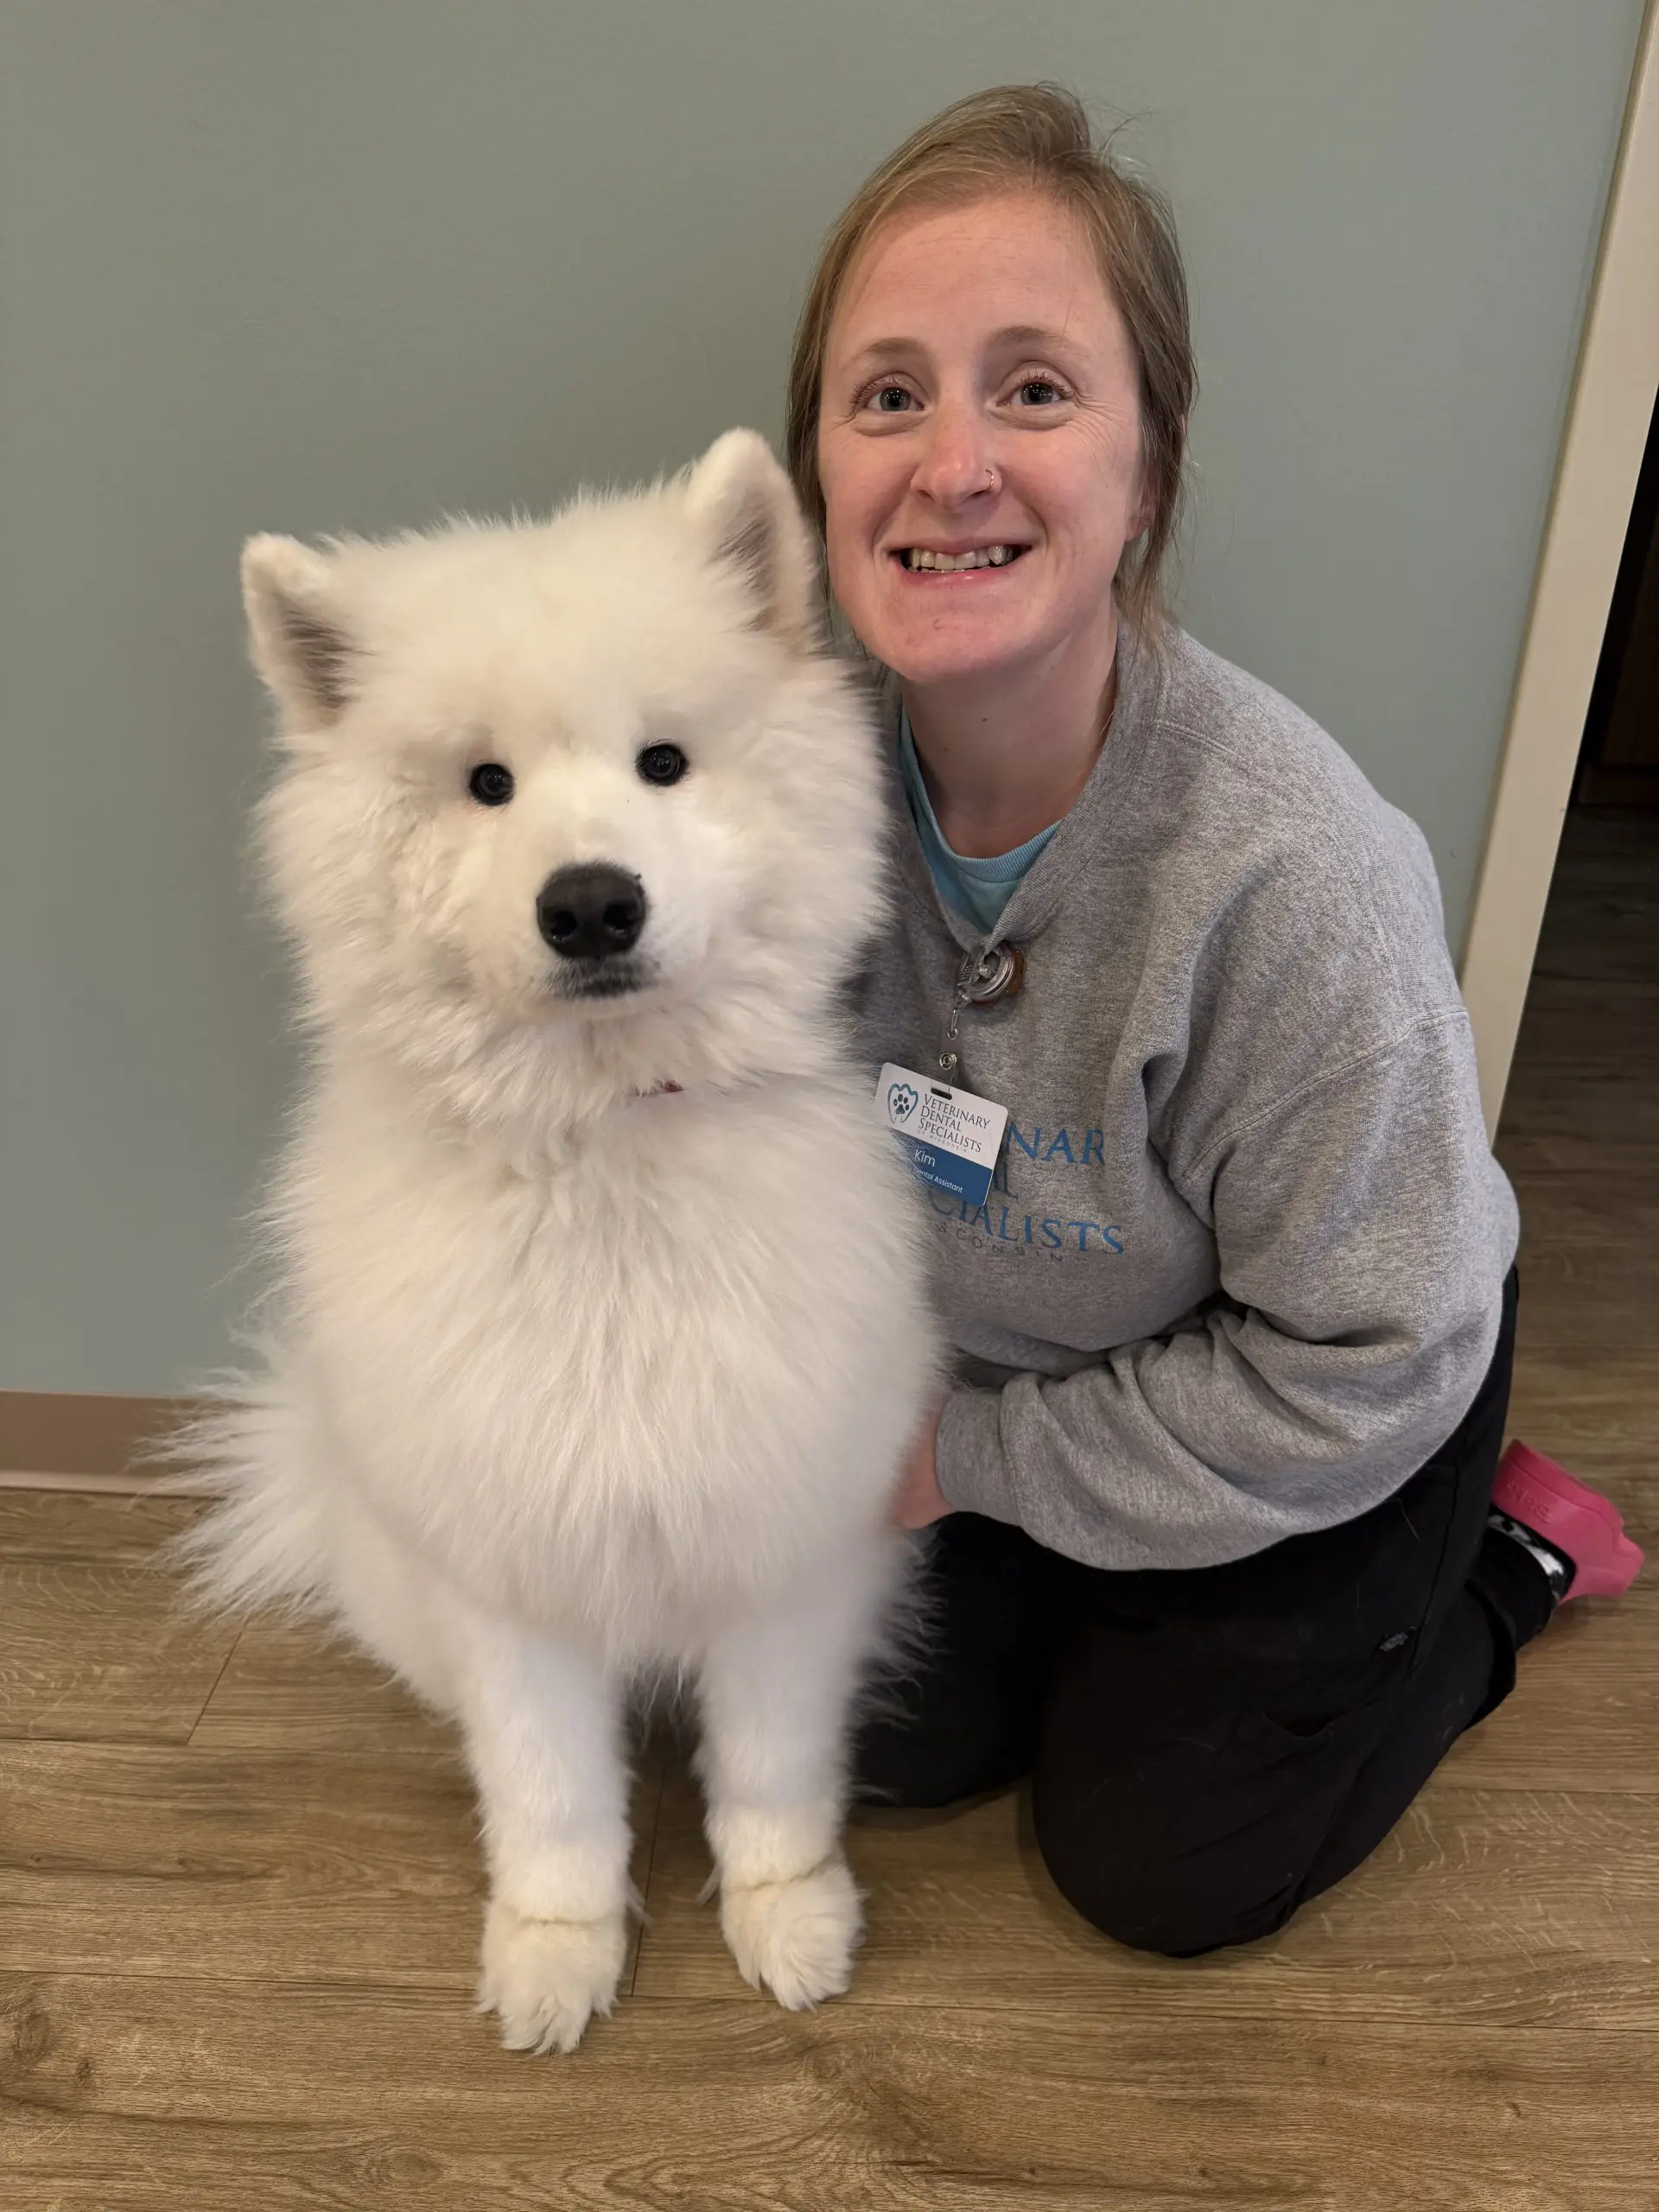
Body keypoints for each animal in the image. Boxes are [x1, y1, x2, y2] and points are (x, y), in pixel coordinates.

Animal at [177, 430, 938, 2053]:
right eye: (484, 785)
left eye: (664, 761)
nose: (591, 903)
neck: (607, 1153)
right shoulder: (512, 1574)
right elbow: (550, 1801)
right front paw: (556, 1955)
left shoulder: (779, 1550)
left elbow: (771, 1773)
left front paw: (788, 1917)